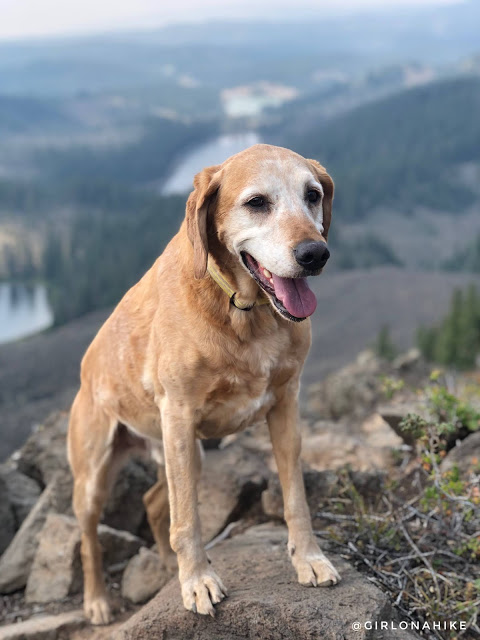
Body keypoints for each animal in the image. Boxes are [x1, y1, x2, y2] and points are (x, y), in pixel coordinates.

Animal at [67, 141, 342, 624]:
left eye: (313, 195)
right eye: (256, 202)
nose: (315, 254)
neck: (244, 311)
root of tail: (86, 366)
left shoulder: (285, 407)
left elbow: (296, 498)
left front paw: (309, 559)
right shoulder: (179, 416)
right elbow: (188, 520)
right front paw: (196, 582)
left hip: (185, 452)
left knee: (154, 502)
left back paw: (163, 566)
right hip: (97, 473)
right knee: (91, 537)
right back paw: (98, 600)